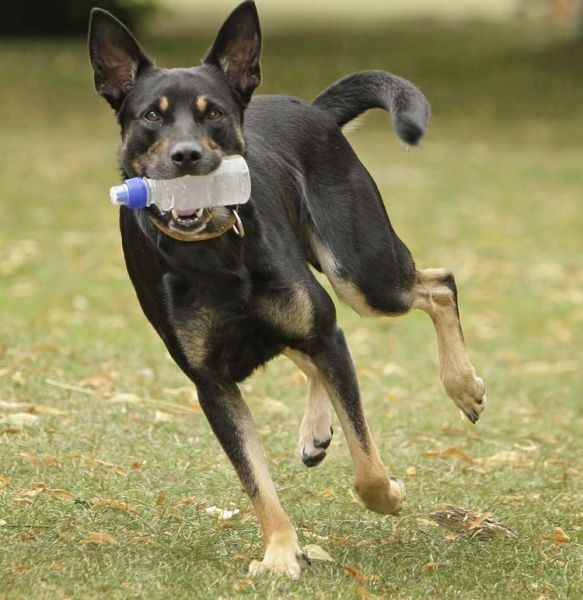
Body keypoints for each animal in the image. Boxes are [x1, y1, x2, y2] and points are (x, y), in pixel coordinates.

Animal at [89, 1, 486, 580]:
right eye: (151, 116)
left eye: (214, 114)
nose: (186, 156)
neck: (212, 252)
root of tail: (316, 111)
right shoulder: (212, 385)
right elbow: (256, 481)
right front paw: (280, 552)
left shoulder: (325, 330)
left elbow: (366, 463)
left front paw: (388, 493)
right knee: (311, 353)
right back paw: (317, 430)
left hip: (363, 274)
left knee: (438, 285)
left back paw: (462, 385)